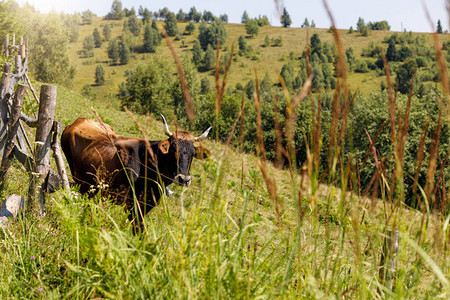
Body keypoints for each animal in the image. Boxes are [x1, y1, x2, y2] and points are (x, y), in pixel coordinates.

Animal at [59, 115, 211, 225]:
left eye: (193, 153)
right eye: (173, 150)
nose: (184, 179)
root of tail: (78, 121)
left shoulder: (146, 206)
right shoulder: (132, 205)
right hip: (80, 180)